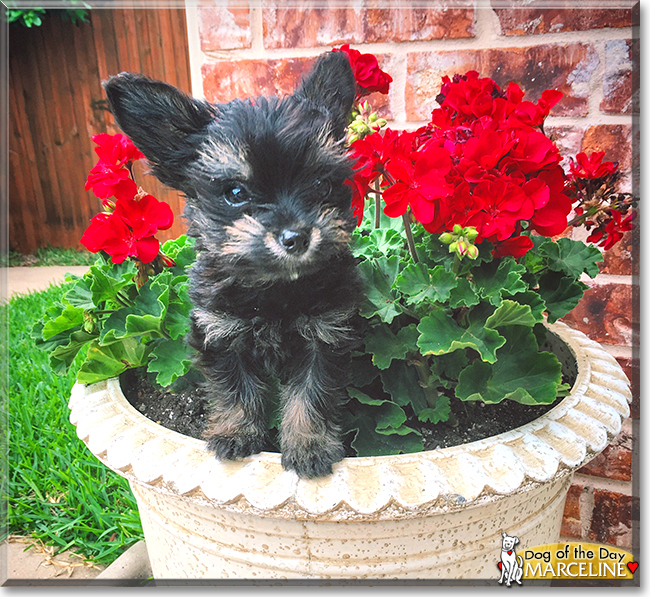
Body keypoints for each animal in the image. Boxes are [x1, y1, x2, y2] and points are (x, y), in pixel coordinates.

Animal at [104, 52, 362, 480]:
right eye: (235, 192)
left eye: (322, 185)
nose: (297, 237)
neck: (275, 291)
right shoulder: (219, 332)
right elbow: (235, 388)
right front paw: (235, 433)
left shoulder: (324, 334)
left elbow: (311, 392)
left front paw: (308, 444)